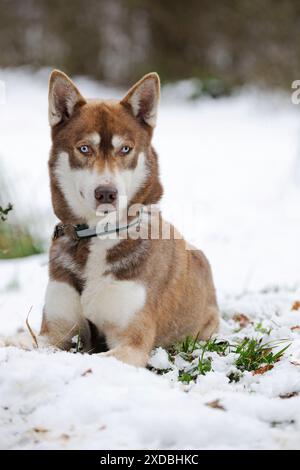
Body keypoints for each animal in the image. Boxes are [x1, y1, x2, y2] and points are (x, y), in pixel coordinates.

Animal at [1, 70, 219, 368]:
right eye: (84, 149)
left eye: (125, 149)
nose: (106, 193)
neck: (97, 235)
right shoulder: (54, 333)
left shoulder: (131, 343)